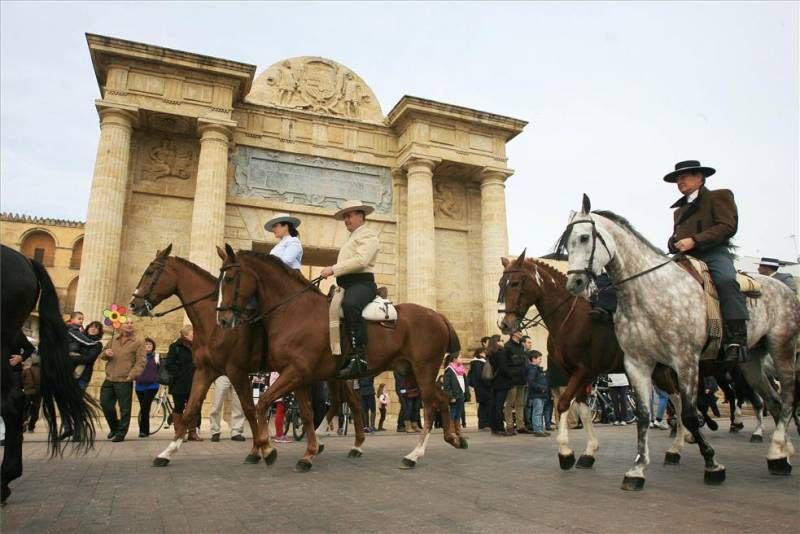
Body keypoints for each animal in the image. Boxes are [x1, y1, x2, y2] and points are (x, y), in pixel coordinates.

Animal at [216, 245, 466, 472]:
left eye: (229, 278)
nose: (223, 320)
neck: (295, 311)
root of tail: (437, 315)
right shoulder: (299, 376)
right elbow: (306, 413)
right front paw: (309, 453)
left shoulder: (296, 372)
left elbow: (263, 403)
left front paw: (268, 449)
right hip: (409, 372)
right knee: (443, 399)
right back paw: (453, 438)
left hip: (423, 370)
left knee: (430, 406)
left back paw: (414, 455)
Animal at [496, 251, 684, 468]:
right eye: (500, 283)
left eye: (515, 283)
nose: (503, 324)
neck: (570, 318)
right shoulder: (575, 374)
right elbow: (583, 409)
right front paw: (589, 451)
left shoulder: (584, 371)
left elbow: (563, 404)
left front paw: (565, 452)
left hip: (663, 370)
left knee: (678, 400)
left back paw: (677, 447)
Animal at [560, 195, 796, 492]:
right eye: (565, 243)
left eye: (583, 237)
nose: (575, 283)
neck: (649, 291)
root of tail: (784, 287)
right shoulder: (637, 363)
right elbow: (644, 415)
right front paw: (637, 470)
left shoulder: (686, 361)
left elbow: (691, 415)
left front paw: (713, 464)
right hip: (751, 362)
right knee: (773, 401)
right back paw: (780, 456)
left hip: (782, 349)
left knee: (787, 397)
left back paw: (776, 448)